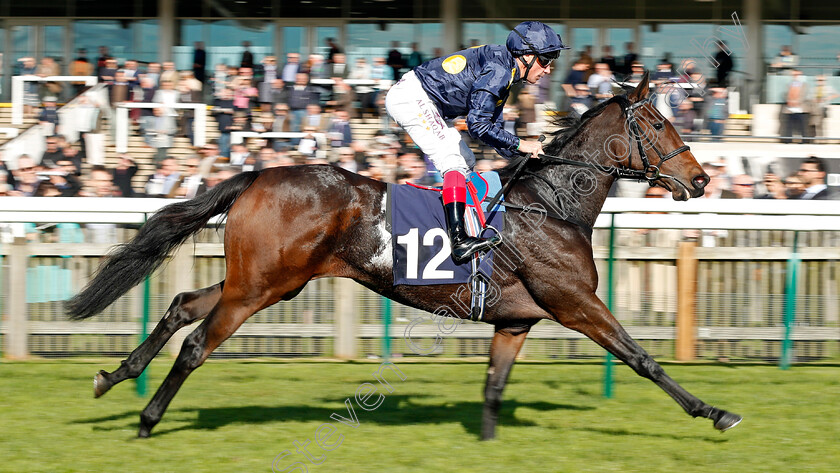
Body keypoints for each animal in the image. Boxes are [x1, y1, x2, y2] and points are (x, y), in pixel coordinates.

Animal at [70, 74, 740, 438]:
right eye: (656, 123)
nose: (702, 179)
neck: (552, 205)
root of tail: (261, 172)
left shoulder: (516, 321)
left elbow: (494, 388)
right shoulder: (574, 303)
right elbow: (640, 357)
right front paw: (713, 411)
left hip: (266, 280)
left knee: (184, 304)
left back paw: (113, 376)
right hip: (261, 285)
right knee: (196, 343)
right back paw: (147, 416)